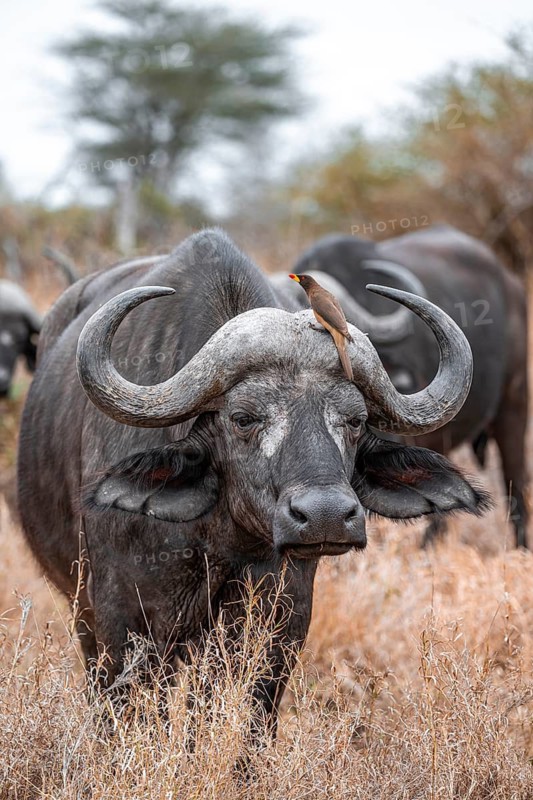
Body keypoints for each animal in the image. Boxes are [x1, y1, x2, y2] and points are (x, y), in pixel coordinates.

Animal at [18, 230, 488, 736]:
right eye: (243, 418)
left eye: (356, 420)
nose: (325, 516)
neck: (220, 540)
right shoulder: (121, 619)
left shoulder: (281, 620)